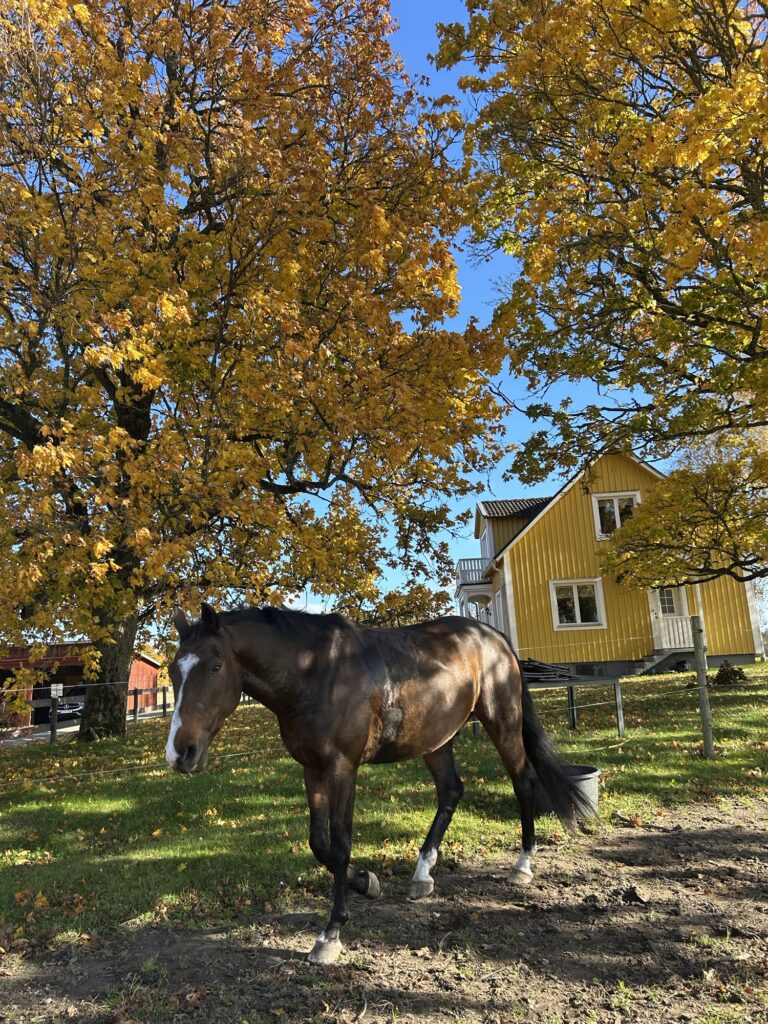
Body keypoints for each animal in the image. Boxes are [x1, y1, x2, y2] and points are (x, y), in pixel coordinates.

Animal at [165, 603, 589, 964]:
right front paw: (367, 881)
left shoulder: (342, 767)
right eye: (173, 671)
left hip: (503, 724)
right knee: (451, 790)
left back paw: (523, 865)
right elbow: (319, 844)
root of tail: (495, 637)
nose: (180, 752)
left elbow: (339, 845)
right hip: (437, 740)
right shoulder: (311, 769)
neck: (313, 673)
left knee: (523, 783)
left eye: (216, 666)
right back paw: (422, 874)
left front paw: (331, 934)